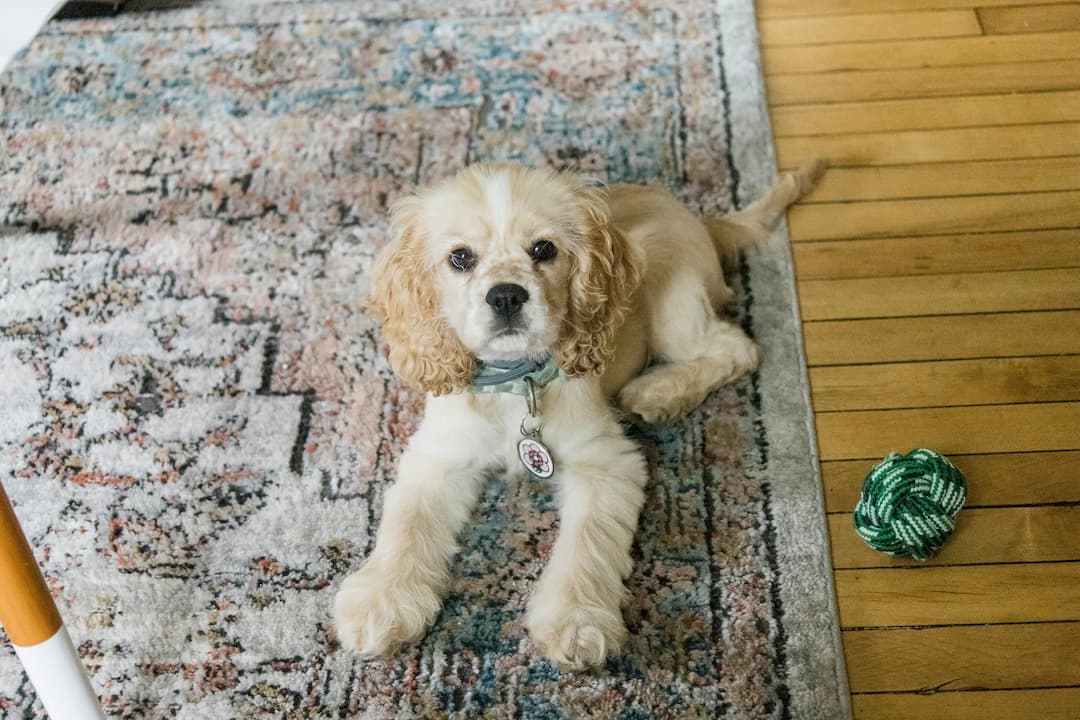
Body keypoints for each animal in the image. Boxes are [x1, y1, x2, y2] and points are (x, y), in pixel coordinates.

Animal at [336, 158, 825, 669]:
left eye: (544, 249)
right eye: (460, 258)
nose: (506, 296)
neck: (516, 382)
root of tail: (703, 223)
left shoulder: (606, 462)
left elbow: (587, 543)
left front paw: (575, 624)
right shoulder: (438, 454)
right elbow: (407, 522)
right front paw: (380, 603)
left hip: (674, 306)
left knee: (737, 348)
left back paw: (656, 392)